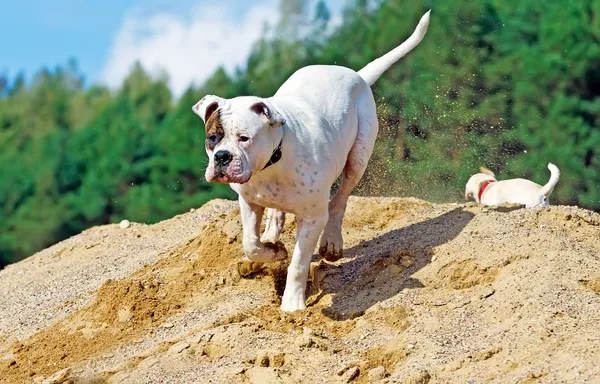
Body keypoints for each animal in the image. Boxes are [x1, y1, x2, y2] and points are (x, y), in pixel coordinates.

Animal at [192, 12, 432, 312]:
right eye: (212, 138)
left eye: (244, 138)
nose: (222, 157)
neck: (272, 163)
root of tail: (356, 75)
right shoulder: (249, 201)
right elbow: (250, 242)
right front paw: (271, 251)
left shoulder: (312, 218)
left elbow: (298, 263)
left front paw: (292, 304)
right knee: (277, 215)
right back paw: (270, 237)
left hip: (359, 156)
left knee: (340, 199)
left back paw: (331, 241)